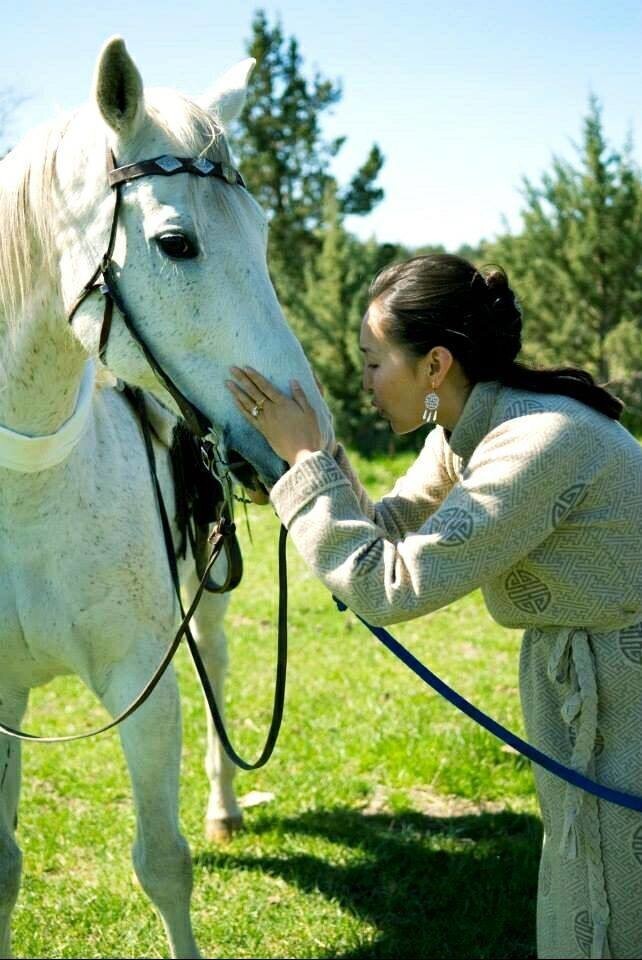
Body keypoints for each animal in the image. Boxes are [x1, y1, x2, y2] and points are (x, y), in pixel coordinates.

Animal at [0, 33, 330, 956]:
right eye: (178, 244)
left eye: (262, 235)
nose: (307, 436)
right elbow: (2, 867)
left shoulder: (140, 688)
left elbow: (163, 863)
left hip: (207, 597)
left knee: (215, 665)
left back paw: (225, 808)